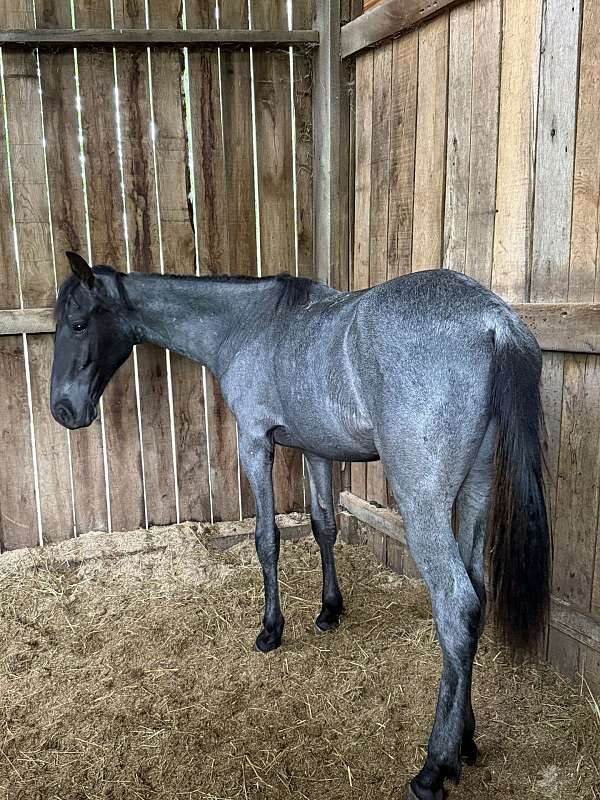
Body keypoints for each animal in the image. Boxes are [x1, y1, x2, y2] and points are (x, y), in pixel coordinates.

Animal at [50, 250, 550, 800]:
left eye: (79, 323)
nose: (63, 409)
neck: (248, 324)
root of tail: (493, 320)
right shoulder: (316, 450)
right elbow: (323, 526)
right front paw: (329, 611)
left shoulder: (254, 443)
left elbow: (267, 540)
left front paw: (271, 630)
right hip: (478, 489)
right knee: (476, 598)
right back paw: (466, 739)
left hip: (424, 506)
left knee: (456, 607)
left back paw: (434, 768)